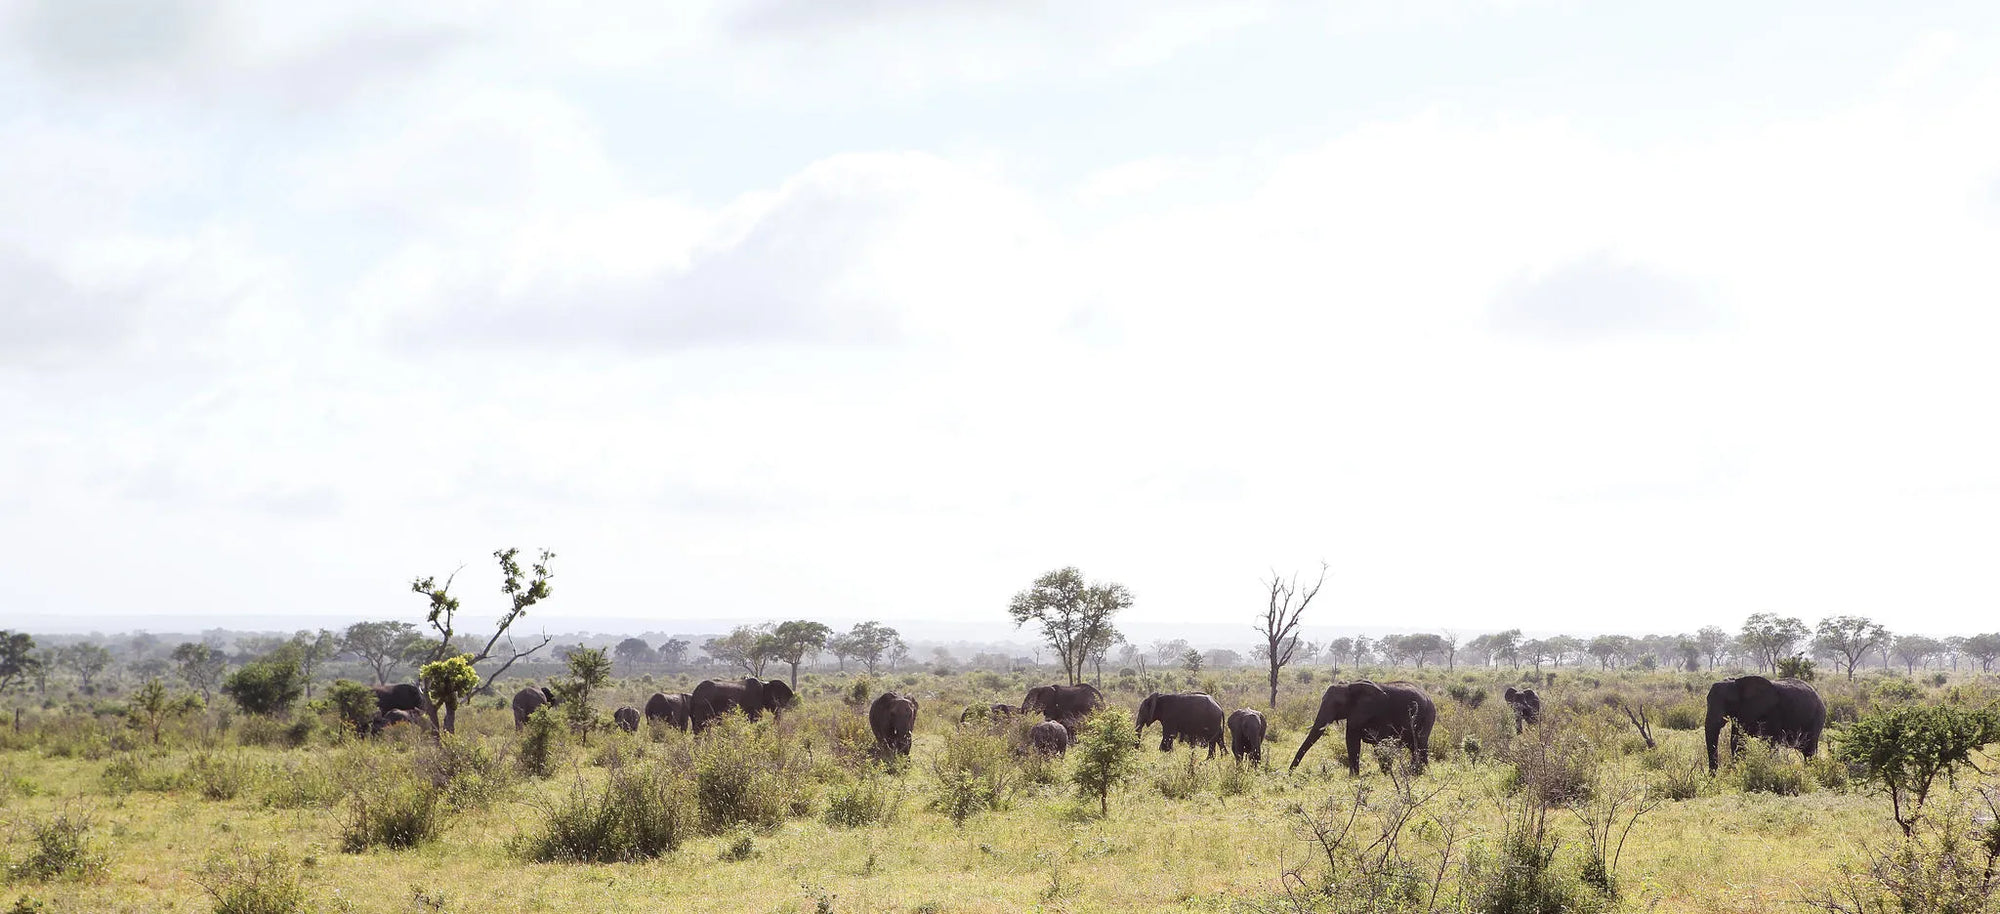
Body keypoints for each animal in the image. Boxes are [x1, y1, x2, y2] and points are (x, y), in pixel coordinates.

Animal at [1290, 680, 1436, 775]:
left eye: (1338, 704)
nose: (1289, 774)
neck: (1349, 686)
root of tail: (1428, 697)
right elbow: (1351, 741)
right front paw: (1354, 777)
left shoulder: (1379, 713)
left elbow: (1380, 742)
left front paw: (1386, 774)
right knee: (1414, 746)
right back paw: (1417, 771)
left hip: (1428, 715)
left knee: (1420, 743)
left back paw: (1420, 772)